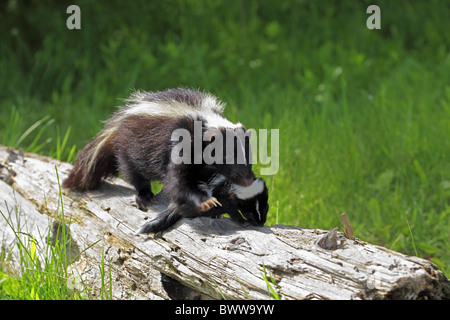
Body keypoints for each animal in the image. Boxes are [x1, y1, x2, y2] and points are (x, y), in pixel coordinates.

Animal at [61, 87, 255, 214]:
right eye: (227, 156)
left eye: (249, 157)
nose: (248, 180)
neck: (203, 120)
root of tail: (118, 124)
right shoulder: (180, 144)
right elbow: (177, 181)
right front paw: (205, 201)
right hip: (129, 146)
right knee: (133, 172)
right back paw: (144, 196)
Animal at [139, 175, 268, 235]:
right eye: (249, 213)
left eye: (265, 209)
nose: (260, 223)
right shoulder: (224, 194)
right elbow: (230, 208)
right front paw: (242, 221)